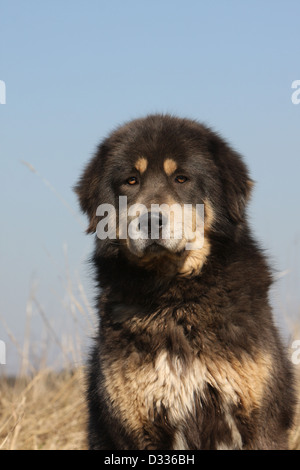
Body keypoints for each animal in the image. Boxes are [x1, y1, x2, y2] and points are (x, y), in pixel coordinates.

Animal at [75, 114, 296, 452]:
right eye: (131, 181)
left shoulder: (260, 421)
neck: (176, 301)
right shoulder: (137, 426)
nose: (150, 221)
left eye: (181, 179)